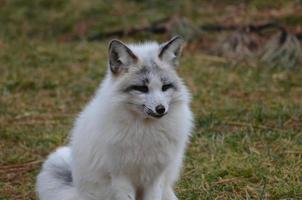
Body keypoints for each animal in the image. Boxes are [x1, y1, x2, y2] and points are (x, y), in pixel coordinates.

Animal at [36, 36, 193, 200]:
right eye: (142, 88)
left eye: (165, 87)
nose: (161, 109)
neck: (145, 131)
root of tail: (76, 190)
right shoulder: (120, 177)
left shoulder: (155, 177)